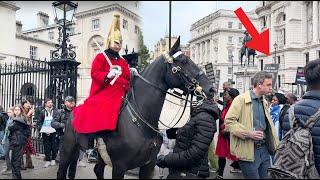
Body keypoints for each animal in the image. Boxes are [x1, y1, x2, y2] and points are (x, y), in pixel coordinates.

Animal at [58, 37, 216, 179]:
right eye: (183, 61)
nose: (211, 88)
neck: (143, 121)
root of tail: (72, 111)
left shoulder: (148, 165)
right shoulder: (119, 167)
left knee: (97, 170)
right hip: (68, 149)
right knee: (62, 170)